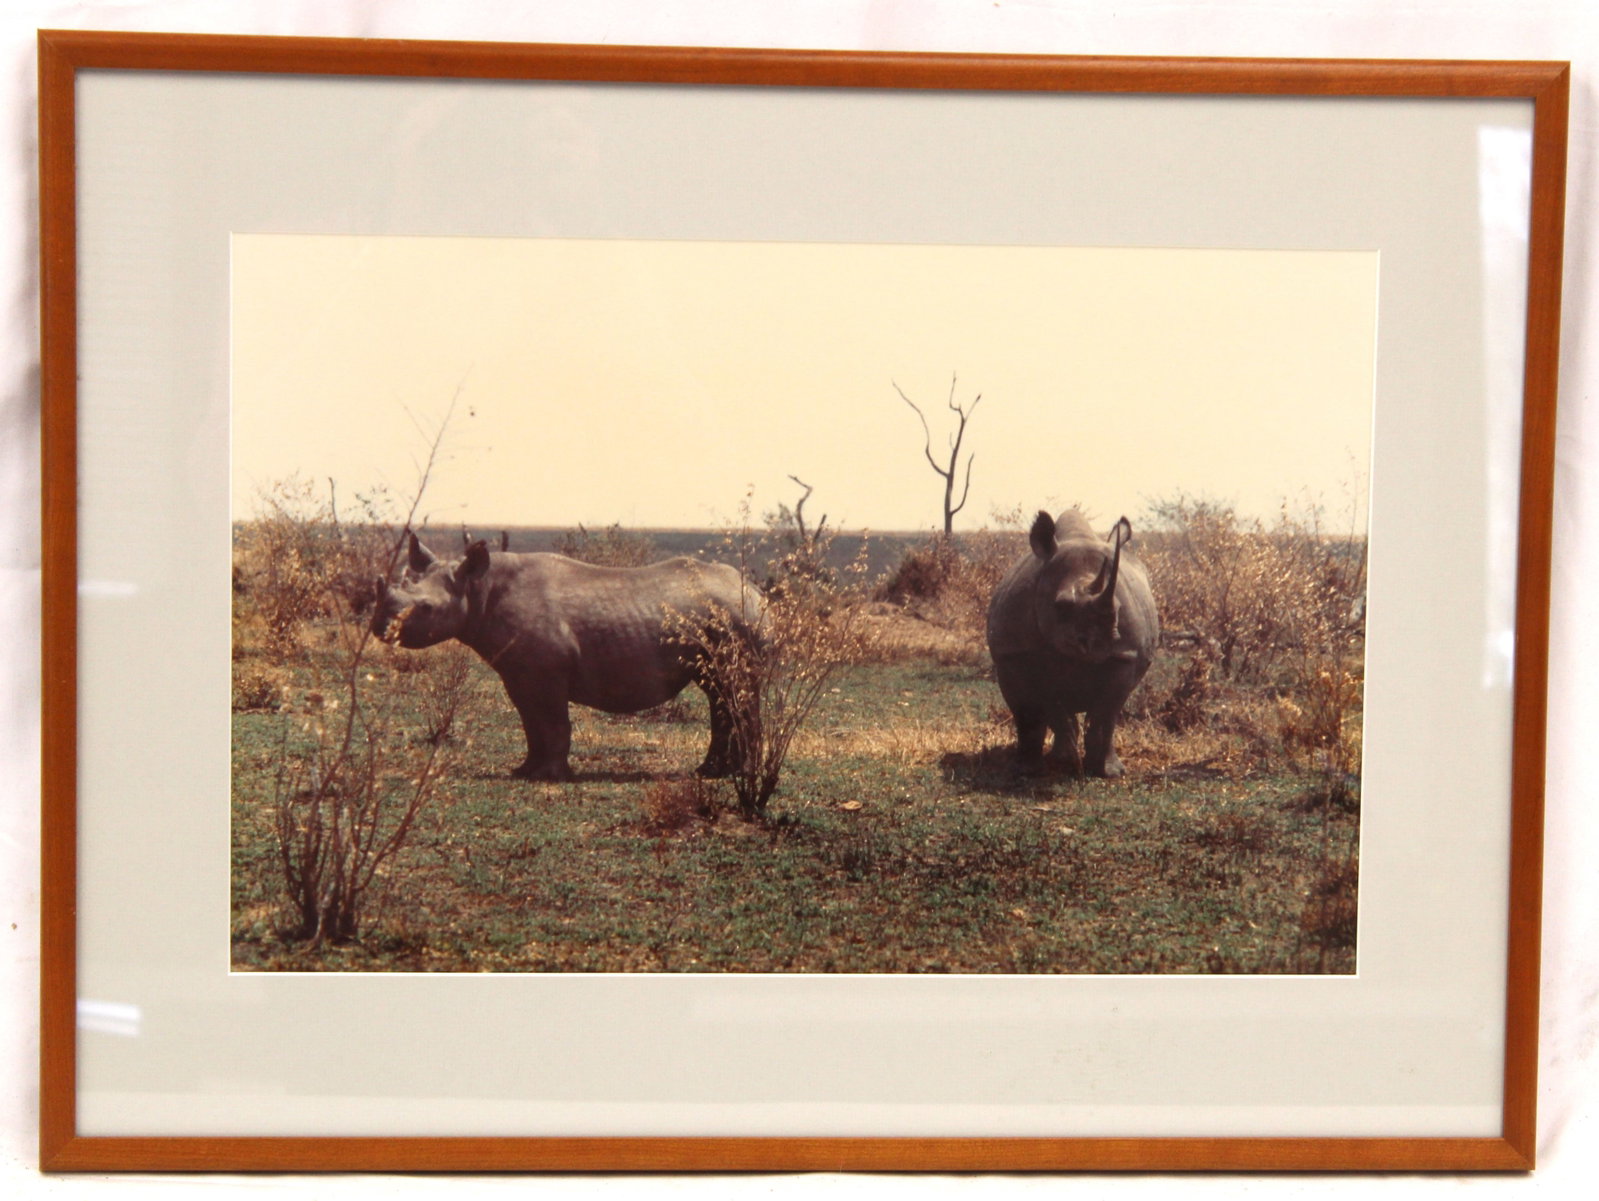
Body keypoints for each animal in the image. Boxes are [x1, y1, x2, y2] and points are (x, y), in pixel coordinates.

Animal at [371, 533, 763, 782]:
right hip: (727, 614)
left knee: (731, 691)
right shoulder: (517, 671)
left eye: (426, 608)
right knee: (720, 696)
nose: (379, 627)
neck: (477, 589)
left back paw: (738, 774)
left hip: (735, 617)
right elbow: (531, 722)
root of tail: (754, 590)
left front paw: (549, 777)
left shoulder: (546, 671)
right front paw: (524, 771)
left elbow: (552, 721)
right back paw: (713, 772)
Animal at [986, 510, 1159, 777]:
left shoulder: (1123, 656)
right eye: (1061, 606)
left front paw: (1108, 772)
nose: (1101, 642)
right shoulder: (1016, 655)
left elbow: (1107, 713)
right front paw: (1039, 768)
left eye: (1118, 609)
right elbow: (1036, 709)